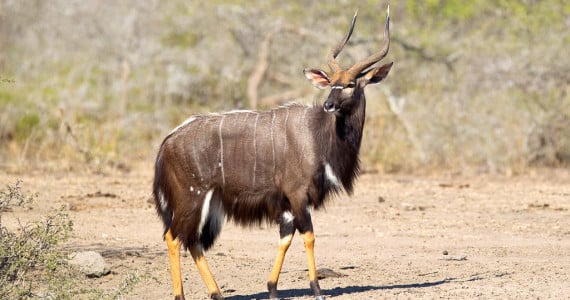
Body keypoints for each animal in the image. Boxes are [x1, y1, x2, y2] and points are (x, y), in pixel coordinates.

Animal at [151, 5, 390, 300]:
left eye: (351, 84)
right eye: (331, 82)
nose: (329, 105)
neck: (318, 134)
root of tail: (166, 142)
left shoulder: (286, 203)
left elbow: (285, 238)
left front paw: (273, 288)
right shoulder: (297, 194)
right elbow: (309, 236)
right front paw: (317, 289)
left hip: (206, 200)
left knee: (192, 240)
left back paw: (217, 293)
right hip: (190, 197)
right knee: (174, 237)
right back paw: (182, 295)